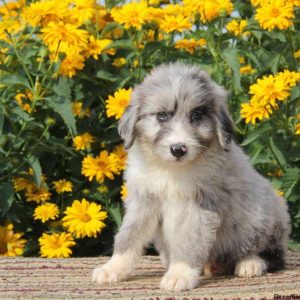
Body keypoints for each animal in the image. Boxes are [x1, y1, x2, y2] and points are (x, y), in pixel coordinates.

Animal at [92, 62, 290, 290]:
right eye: (161, 116)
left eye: (196, 116)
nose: (178, 149)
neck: (172, 170)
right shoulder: (144, 199)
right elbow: (128, 235)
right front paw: (112, 268)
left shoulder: (200, 205)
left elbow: (189, 240)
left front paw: (180, 274)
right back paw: (212, 266)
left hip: (264, 216)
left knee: (271, 253)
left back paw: (250, 264)